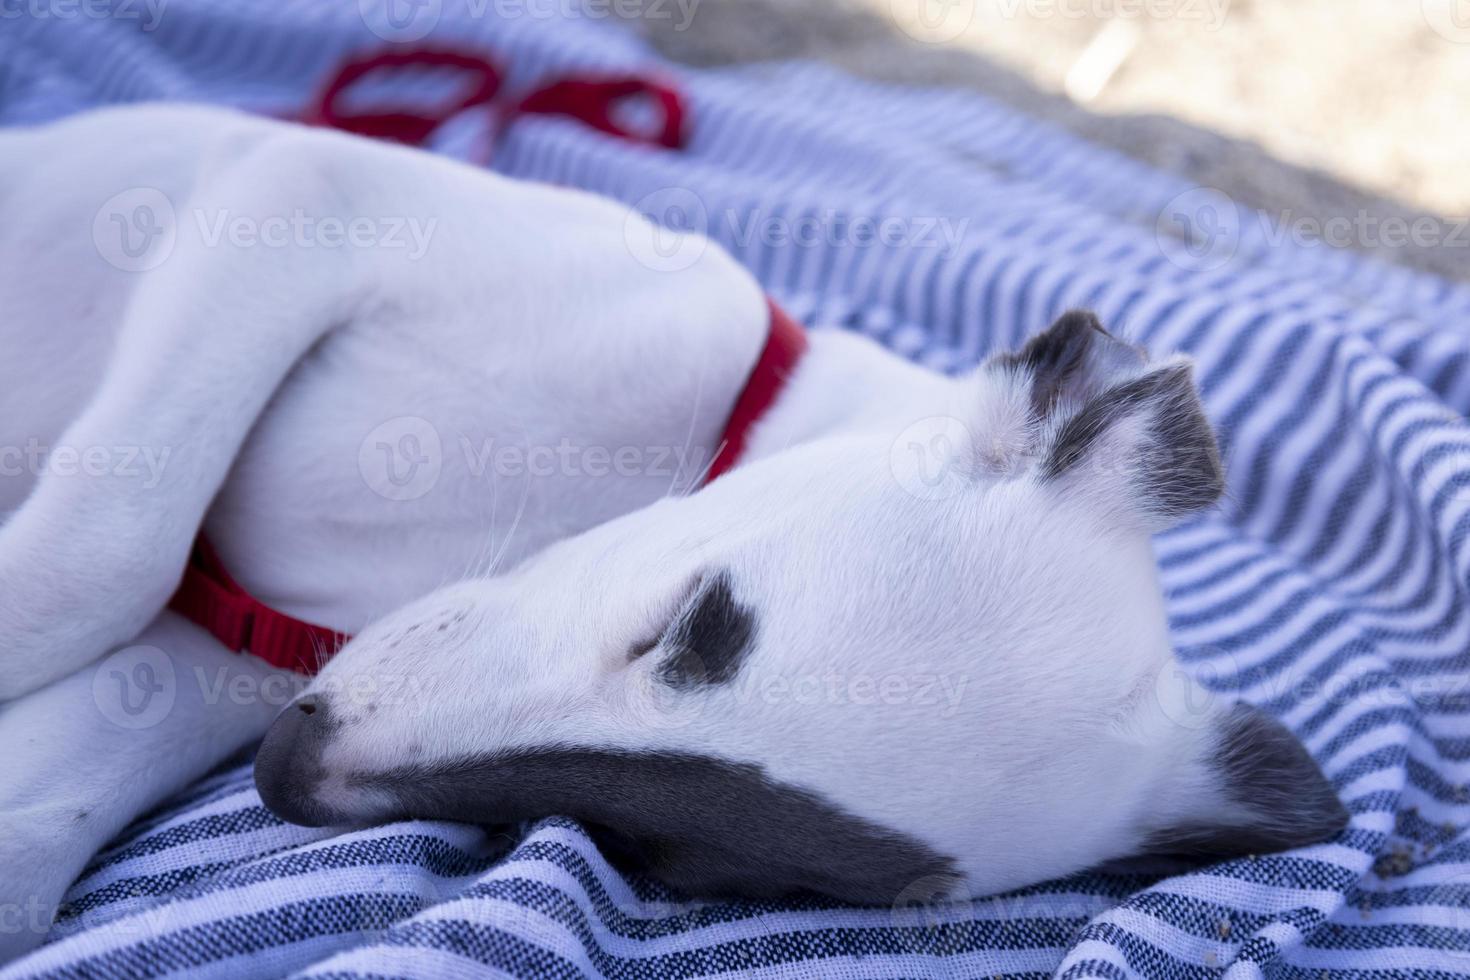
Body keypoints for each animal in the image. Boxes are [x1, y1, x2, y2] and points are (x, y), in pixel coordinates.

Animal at [0, 103, 1346, 963]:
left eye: (660, 854)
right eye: (690, 624)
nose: (285, 774)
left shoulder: (244, 647)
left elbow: (41, 814)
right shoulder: (318, 201)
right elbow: (99, 560)